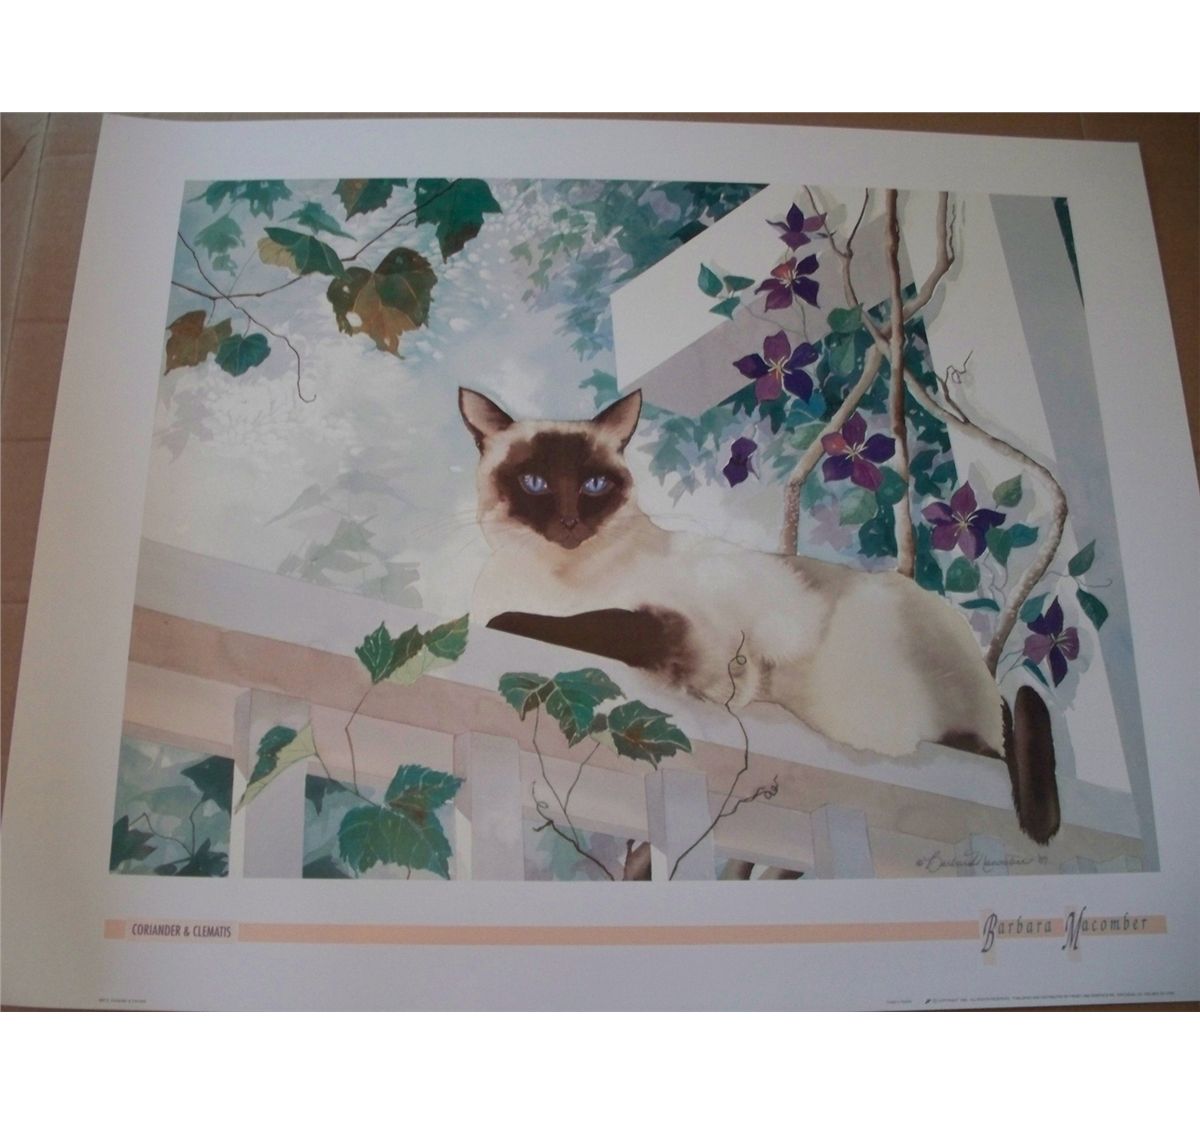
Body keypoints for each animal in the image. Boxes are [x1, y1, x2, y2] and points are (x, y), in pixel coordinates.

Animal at [459, 386, 1060, 845]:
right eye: (535, 484)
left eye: (593, 485)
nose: (568, 523)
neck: (560, 578)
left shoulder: (685, 637)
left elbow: (562, 621)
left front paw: (514, 620)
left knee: (981, 742)